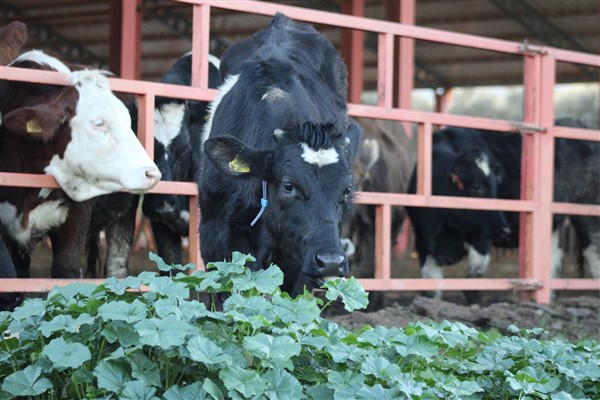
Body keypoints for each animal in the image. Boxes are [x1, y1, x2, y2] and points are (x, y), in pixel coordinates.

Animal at [0, 50, 161, 284]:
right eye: (98, 123)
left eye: (128, 123)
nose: (151, 173)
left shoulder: (79, 212)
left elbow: (66, 268)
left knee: (117, 266)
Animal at [406, 128, 510, 304]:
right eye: (477, 187)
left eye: (495, 187)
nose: (504, 230)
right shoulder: (422, 239)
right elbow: (432, 286)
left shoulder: (481, 239)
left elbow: (474, 277)